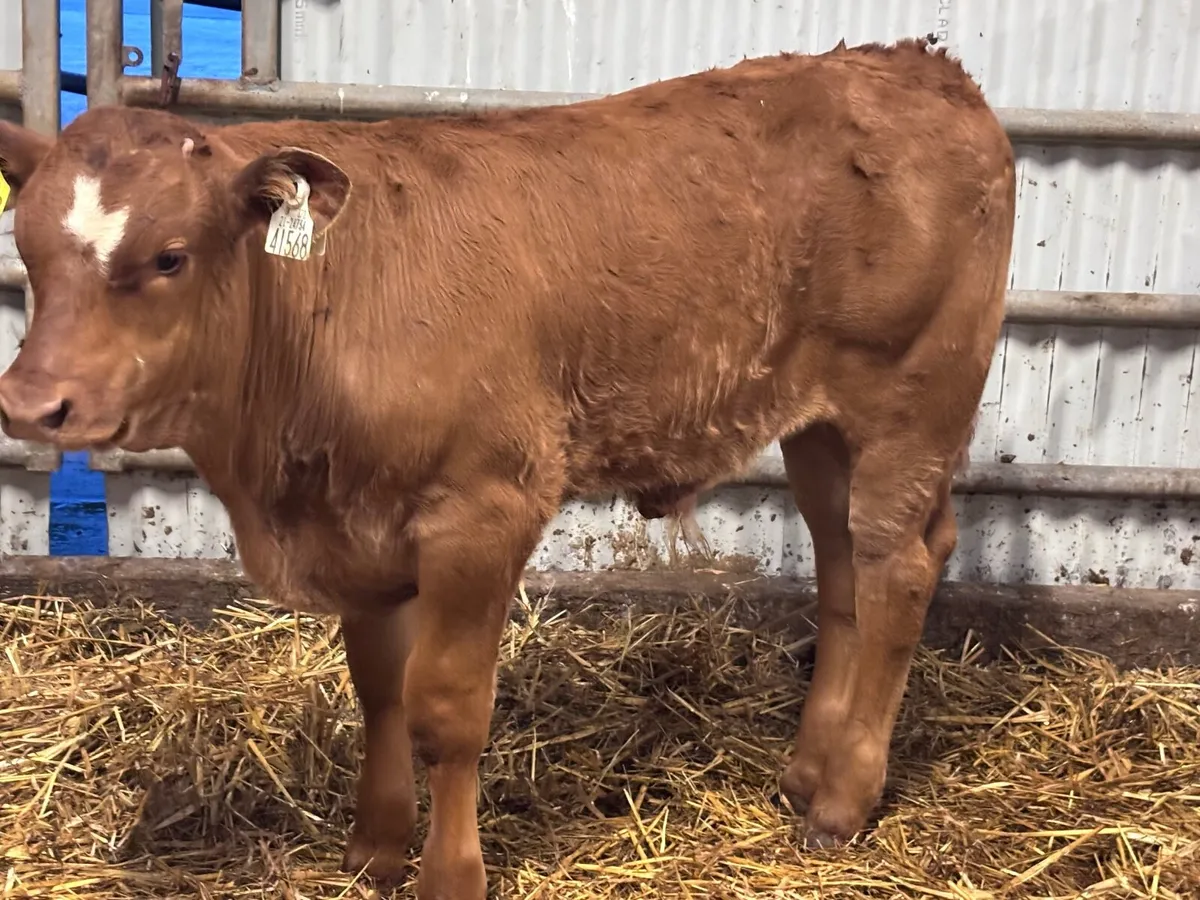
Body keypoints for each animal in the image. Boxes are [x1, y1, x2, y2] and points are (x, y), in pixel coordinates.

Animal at [0, 37, 1015, 900]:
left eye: (170, 256)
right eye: (28, 249)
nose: (32, 403)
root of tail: (920, 66)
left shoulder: (483, 510)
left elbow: (444, 709)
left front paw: (449, 875)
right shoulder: (356, 525)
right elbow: (378, 689)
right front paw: (374, 847)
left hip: (912, 399)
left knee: (897, 569)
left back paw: (844, 800)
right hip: (820, 426)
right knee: (843, 567)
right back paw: (805, 773)